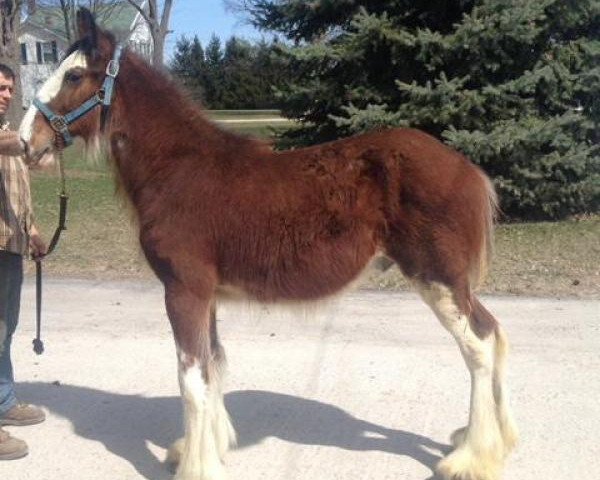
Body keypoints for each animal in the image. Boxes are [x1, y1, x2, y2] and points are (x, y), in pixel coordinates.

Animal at [18, 7, 516, 480]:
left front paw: (196, 466)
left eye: (74, 76)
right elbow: (213, 366)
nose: (24, 142)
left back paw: (469, 458)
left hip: (437, 277)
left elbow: (190, 378)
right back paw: (492, 441)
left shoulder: (183, 291)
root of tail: (467, 168)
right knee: (493, 331)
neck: (178, 168)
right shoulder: (206, 295)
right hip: (452, 281)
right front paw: (206, 449)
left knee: (478, 346)